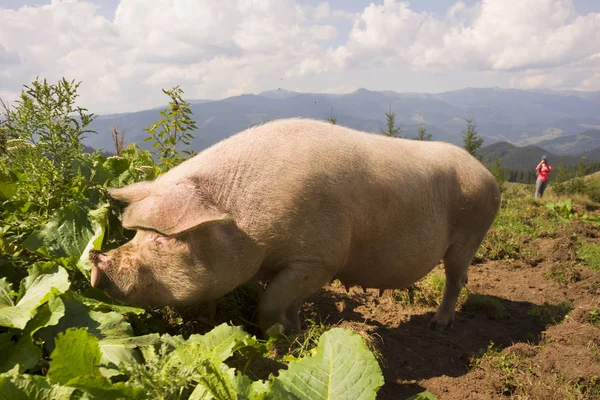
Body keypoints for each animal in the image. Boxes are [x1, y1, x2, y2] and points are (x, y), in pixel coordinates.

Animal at [89, 117, 502, 332]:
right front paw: (296, 330)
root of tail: (487, 174)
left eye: (166, 241)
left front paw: (276, 335)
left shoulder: (320, 258)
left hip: (471, 233)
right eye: (137, 233)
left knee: (455, 279)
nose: (96, 262)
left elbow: (270, 301)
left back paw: (439, 324)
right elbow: (289, 301)